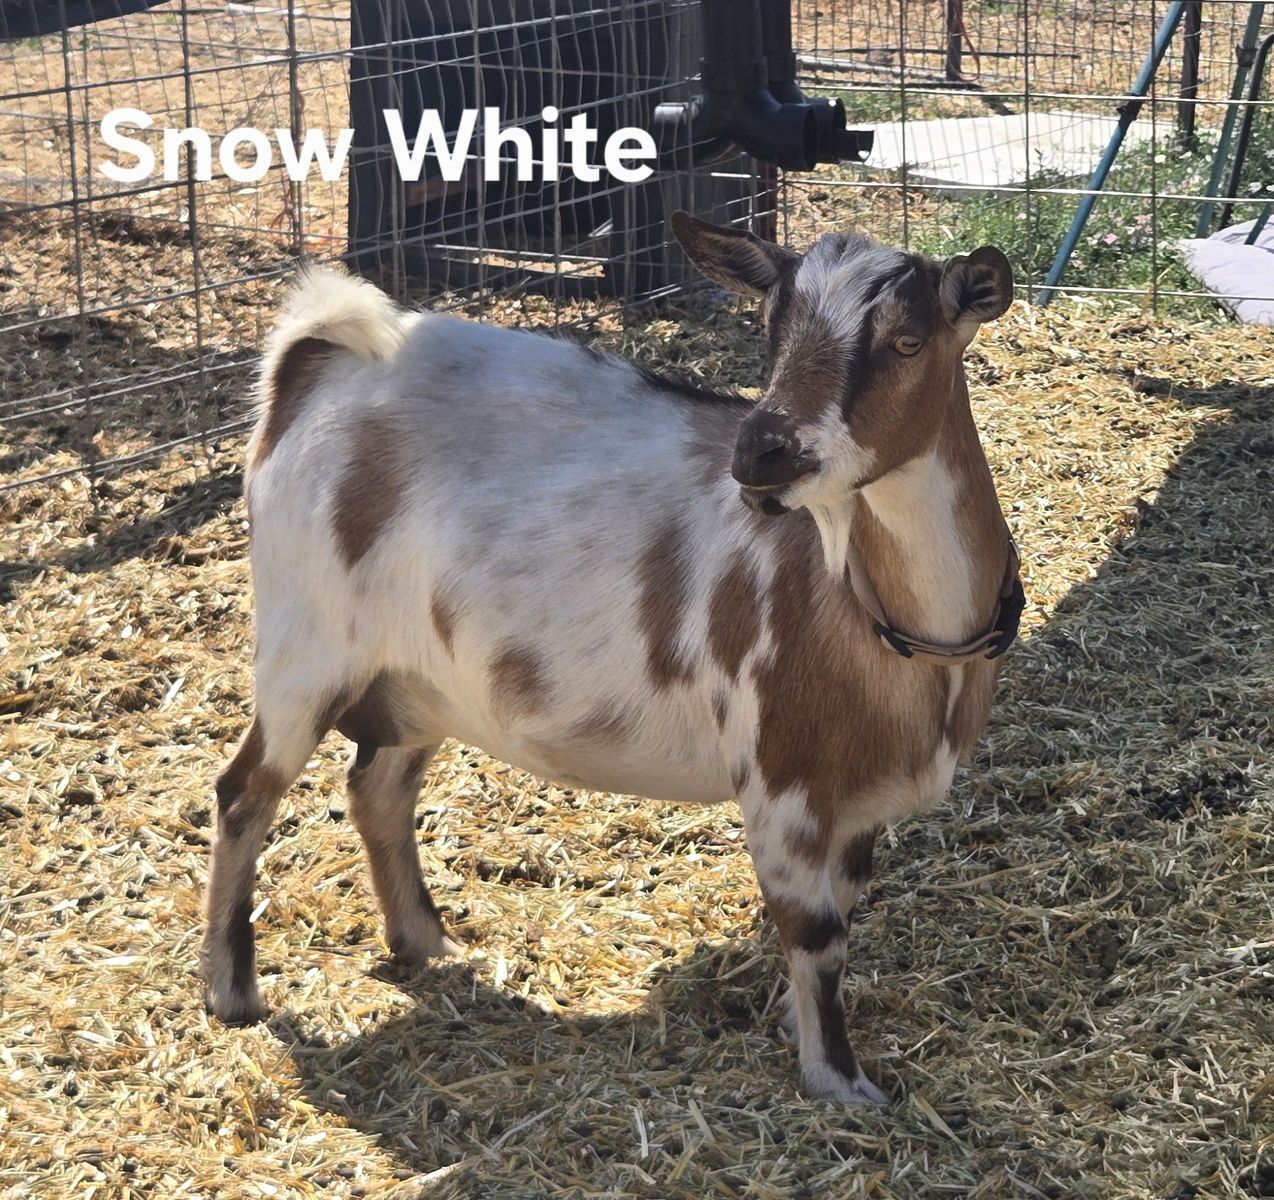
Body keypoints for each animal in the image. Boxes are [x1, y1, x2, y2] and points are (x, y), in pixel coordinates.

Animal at [201, 213, 1022, 1104]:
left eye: (907, 341)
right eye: (770, 334)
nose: (760, 456)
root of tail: (317, 362)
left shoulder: (853, 800)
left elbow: (837, 913)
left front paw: (791, 1023)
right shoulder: (780, 781)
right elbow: (816, 933)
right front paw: (840, 1083)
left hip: (418, 678)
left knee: (377, 791)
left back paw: (427, 943)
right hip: (305, 648)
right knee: (245, 794)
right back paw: (232, 990)